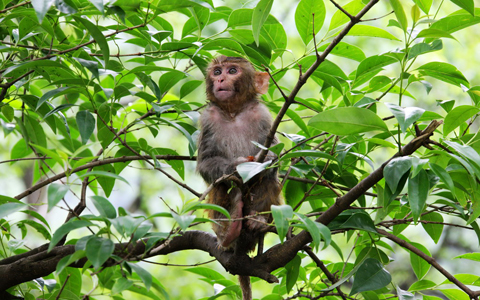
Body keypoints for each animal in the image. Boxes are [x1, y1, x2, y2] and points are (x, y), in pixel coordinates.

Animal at [197, 55, 284, 298]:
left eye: (232, 71)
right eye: (217, 72)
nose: (221, 79)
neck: (233, 112)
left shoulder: (262, 115)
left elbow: (275, 157)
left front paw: (268, 159)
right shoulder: (208, 119)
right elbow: (206, 162)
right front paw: (237, 166)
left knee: (270, 181)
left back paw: (255, 220)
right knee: (222, 186)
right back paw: (230, 229)